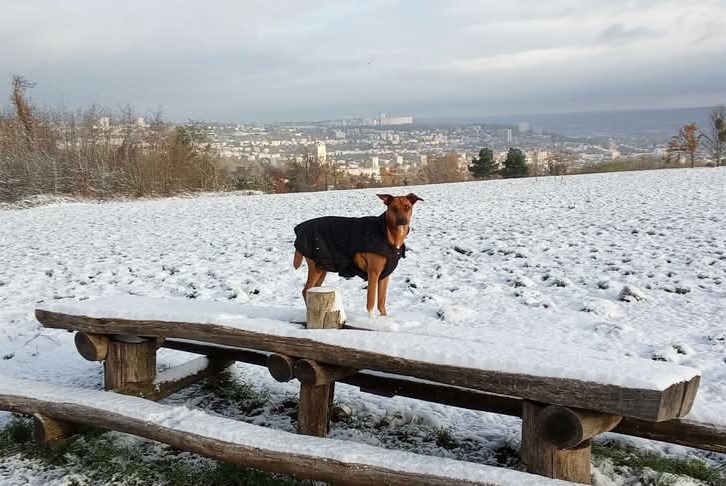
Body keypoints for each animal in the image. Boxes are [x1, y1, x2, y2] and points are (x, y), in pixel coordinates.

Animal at [292, 194, 424, 318]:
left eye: (407, 207)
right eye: (394, 208)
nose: (402, 221)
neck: (387, 232)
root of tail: (300, 229)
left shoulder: (384, 276)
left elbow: (381, 302)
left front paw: (384, 319)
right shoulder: (373, 273)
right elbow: (371, 302)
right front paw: (372, 321)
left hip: (323, 267)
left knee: (312, 289)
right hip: (316, 267)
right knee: (305, 290)